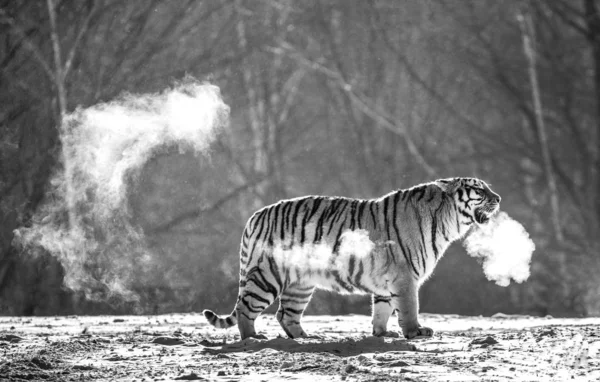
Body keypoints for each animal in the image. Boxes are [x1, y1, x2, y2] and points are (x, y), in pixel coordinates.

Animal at [203, 178, 502, 338]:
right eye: (480, 190)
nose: (499, 197)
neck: (447, 221)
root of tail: (255, 215)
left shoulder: (388, 280)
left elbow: (382, 309)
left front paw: (382, 334)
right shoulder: (405, 277)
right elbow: (409, 307)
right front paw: (415, 332)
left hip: (300, 284)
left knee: (285, 314)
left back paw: (305, 338)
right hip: (268, 274)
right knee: (246, 308)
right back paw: (253, 338)